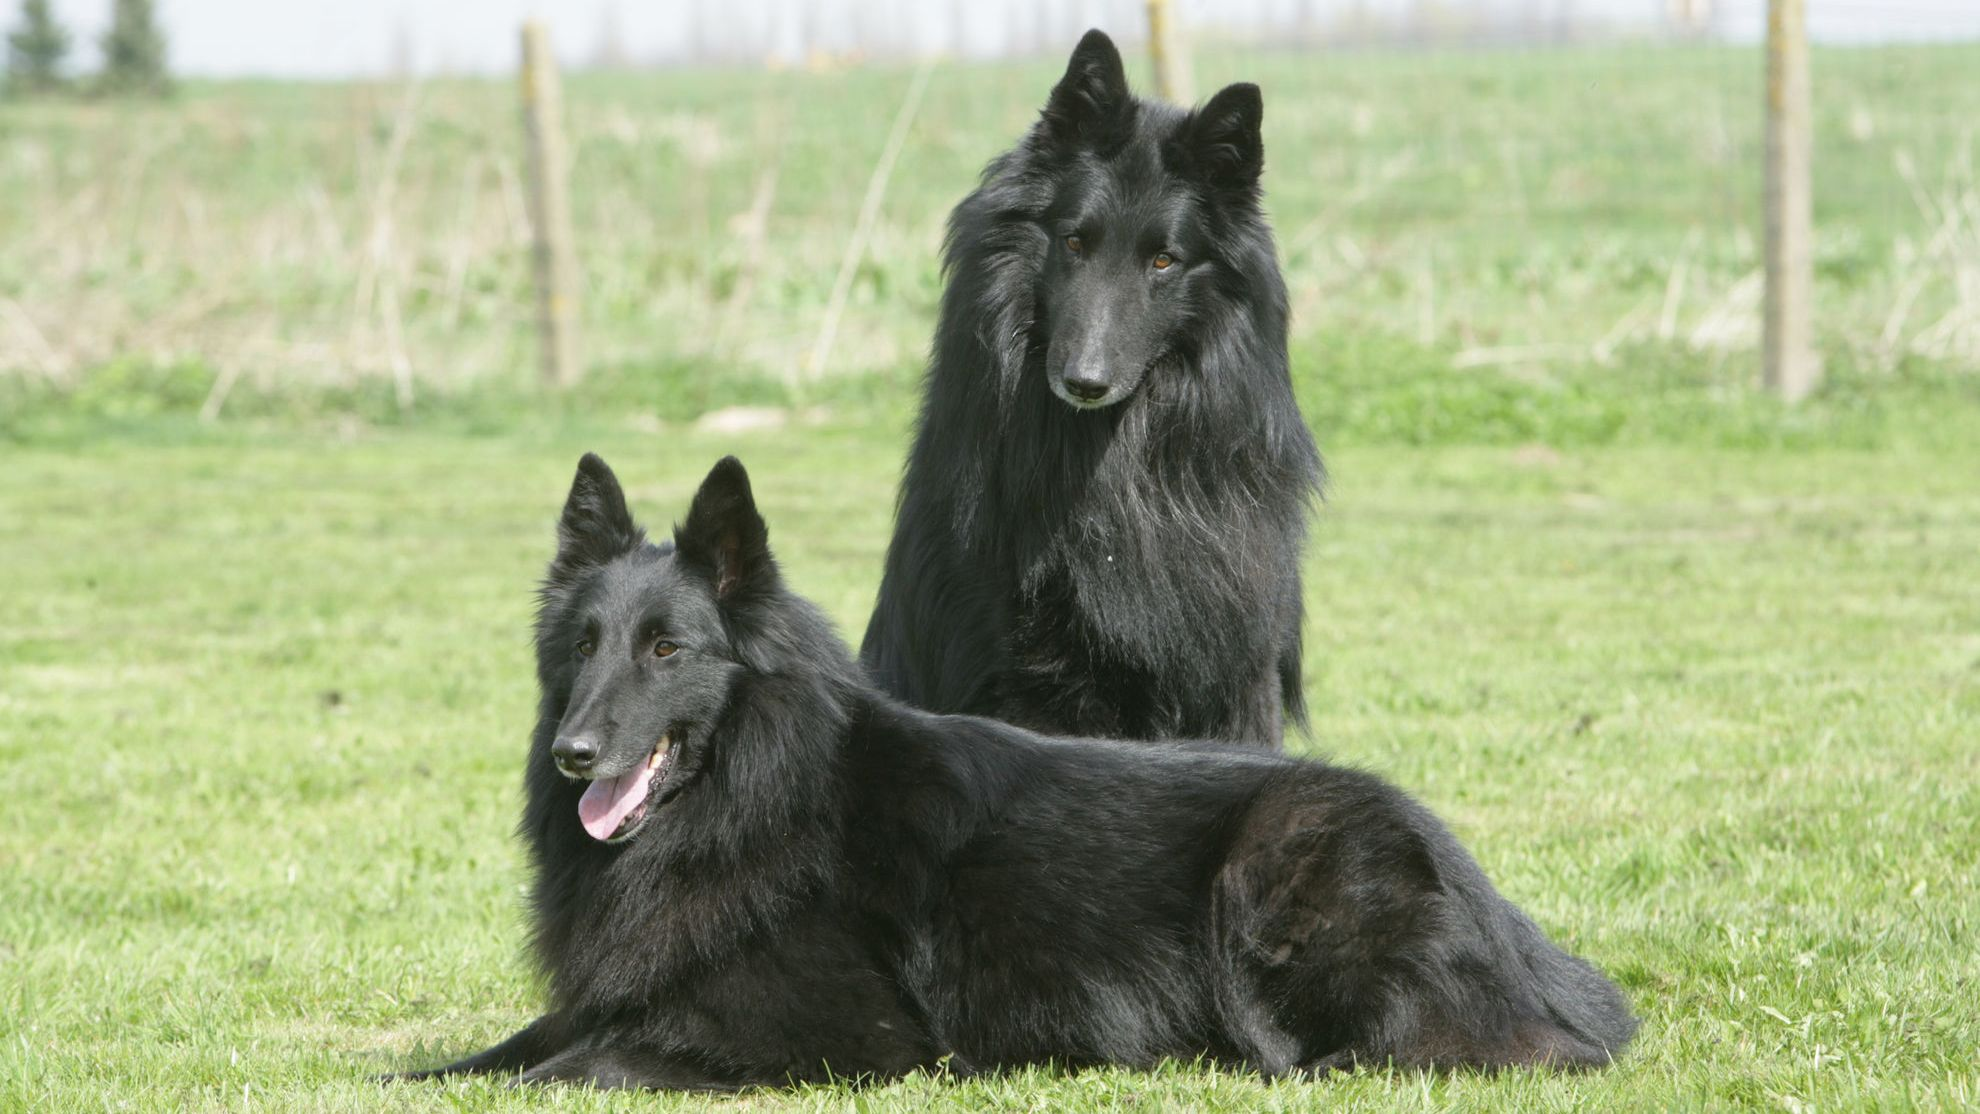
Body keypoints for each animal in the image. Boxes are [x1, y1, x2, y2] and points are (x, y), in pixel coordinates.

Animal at [390, 453, 1639, 1092]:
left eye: (666, 651)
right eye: (584, 646)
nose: (573, 754)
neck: (758, 798)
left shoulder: (832, 1040)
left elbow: (578, 1066)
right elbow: (507, 1051)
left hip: (1277, 850)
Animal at [863, 30, 1314, 747]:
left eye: (1163, 260)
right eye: (1074, 242)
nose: (1085, 382)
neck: (1117, 464)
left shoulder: (1242, 663)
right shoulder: (1030, 675)